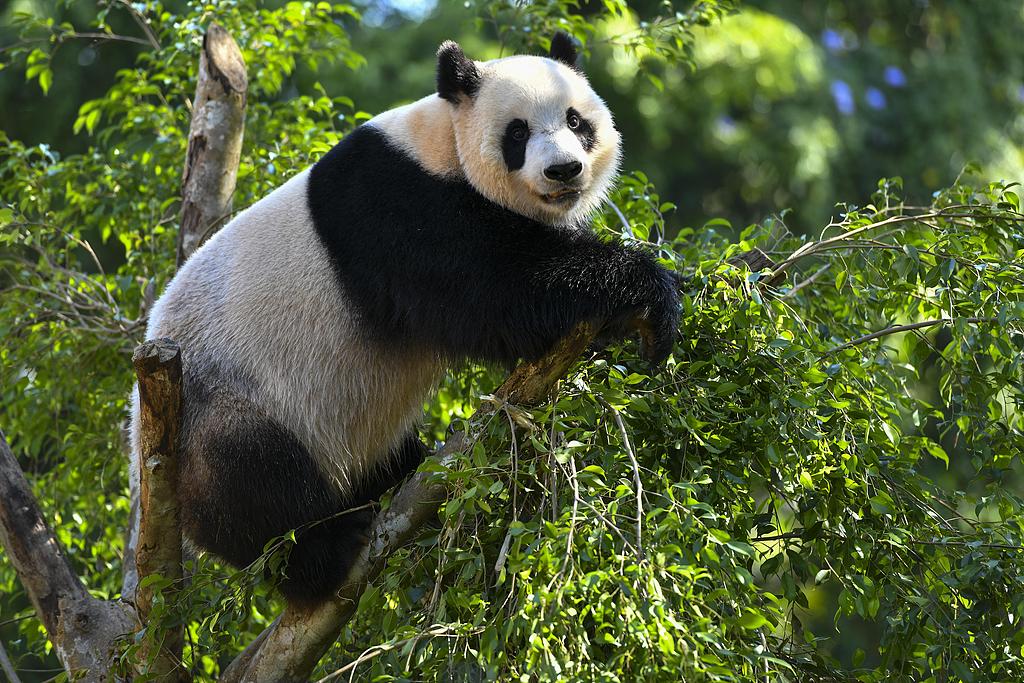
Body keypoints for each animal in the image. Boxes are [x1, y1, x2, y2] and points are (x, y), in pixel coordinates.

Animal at [129, 33, 680, 605]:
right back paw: (325, 553)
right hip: (228, 401)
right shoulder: (395, 207)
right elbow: (495, 286)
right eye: (518, 133)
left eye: (575, 120)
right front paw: (646, 291)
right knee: (254, 481)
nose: (564, 171)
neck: (443, 145)